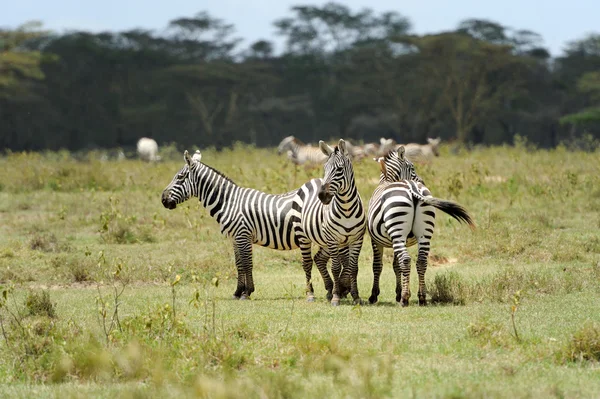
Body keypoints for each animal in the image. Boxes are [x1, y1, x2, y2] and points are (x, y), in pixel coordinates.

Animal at [161, 149, 332, 300]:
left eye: (180, 177)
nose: (163, 199)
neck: (229, 202)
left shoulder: (243, 234)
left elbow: (247, 263)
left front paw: (246, 292)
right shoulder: (235, 238)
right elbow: (239, 264)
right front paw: (238, 292)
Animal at [294, 139, 366, 308]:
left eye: (339, 169)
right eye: (324, 168)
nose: (322, 196)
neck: (347, 208)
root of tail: (312, 180)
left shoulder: (356, 239)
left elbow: (353, 267)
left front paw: (355, 295)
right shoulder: (333, 240)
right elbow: (335, 267)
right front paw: (336, 296)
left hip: (324, 240)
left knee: (318, 258)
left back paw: (329, 288)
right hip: (303, 236)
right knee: (307, 263)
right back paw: (311, 294)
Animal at [366, 147, 474, 306]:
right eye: (412, 167)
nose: (422, 181)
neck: (387, 180)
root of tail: (412, 187)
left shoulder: (376, 240)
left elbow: (378, 266)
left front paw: (374, 296)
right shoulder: (394, 240)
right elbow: (395, 266)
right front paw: (397, 293)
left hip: (398, 230)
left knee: (406, 260)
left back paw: (405, 298)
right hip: (424, 233)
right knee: (421, 261)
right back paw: (421, 297)